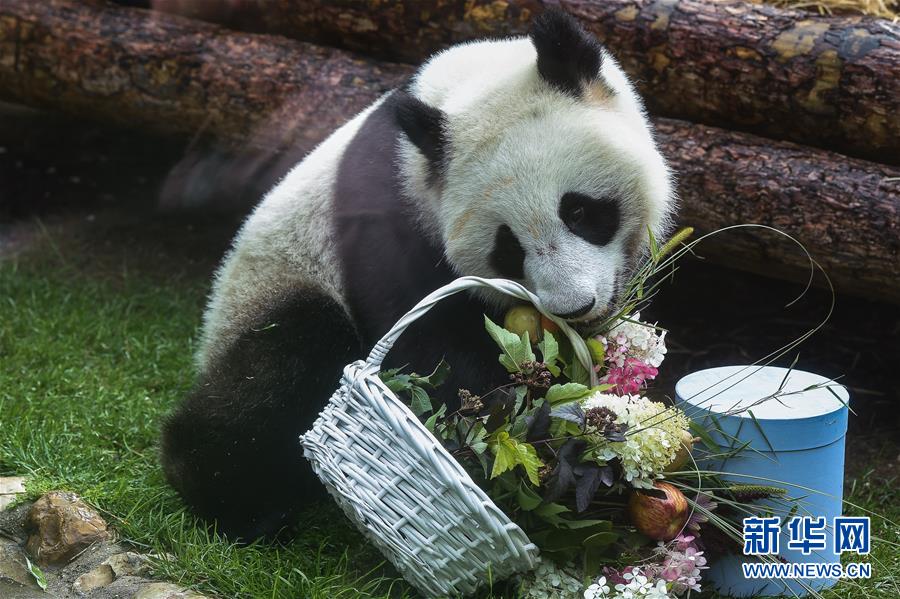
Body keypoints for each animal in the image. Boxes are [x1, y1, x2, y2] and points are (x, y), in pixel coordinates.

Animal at [160, 9, 676, 544]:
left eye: (578, 211)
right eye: (507, 248)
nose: (573, 307)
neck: (463, 88)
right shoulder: (387, 219)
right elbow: (425, 344)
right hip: (272, 285)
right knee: (285, 362)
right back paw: (235, 499)